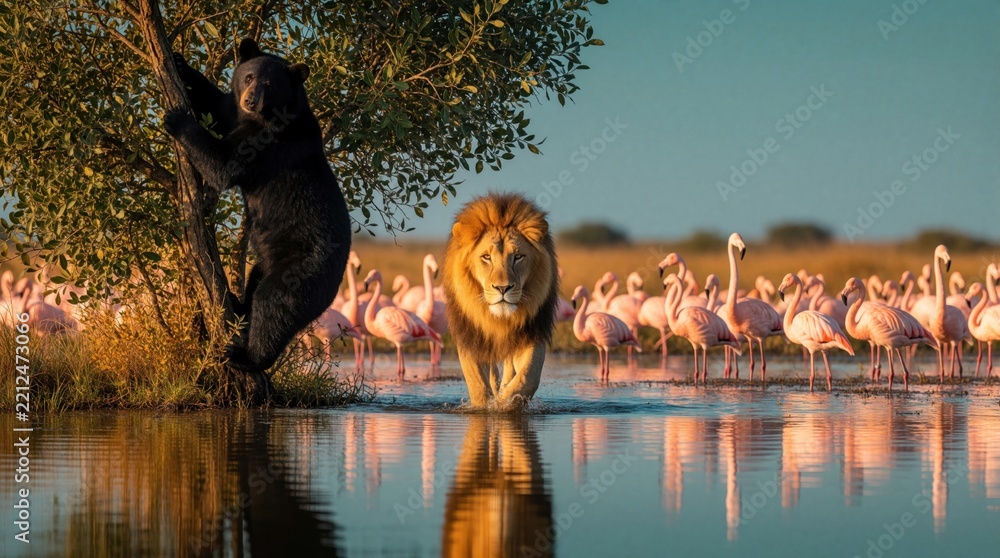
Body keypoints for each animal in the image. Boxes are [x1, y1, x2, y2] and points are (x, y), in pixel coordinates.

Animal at [164, 38, 352, 378]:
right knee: (254, 283)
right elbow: (218, 106)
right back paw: (237, 303)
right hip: (268, 260)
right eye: (249, 77)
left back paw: (246, 355)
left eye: (270, 84)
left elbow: (224, 163)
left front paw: (177, 119)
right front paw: (182, 65)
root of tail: (335, 285)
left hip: (302, 268)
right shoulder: (236, 115)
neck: (265, 117)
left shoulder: (270, 144)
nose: (251, 99)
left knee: (273, 304)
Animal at [443, 192, 559, 407]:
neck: (500, 320)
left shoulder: (533, 331)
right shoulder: (471, 336)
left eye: (518, 256)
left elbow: (527, 377)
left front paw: (505, 403)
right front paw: (488, 405)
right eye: (486, 257)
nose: (503, 288)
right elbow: (478, 384)